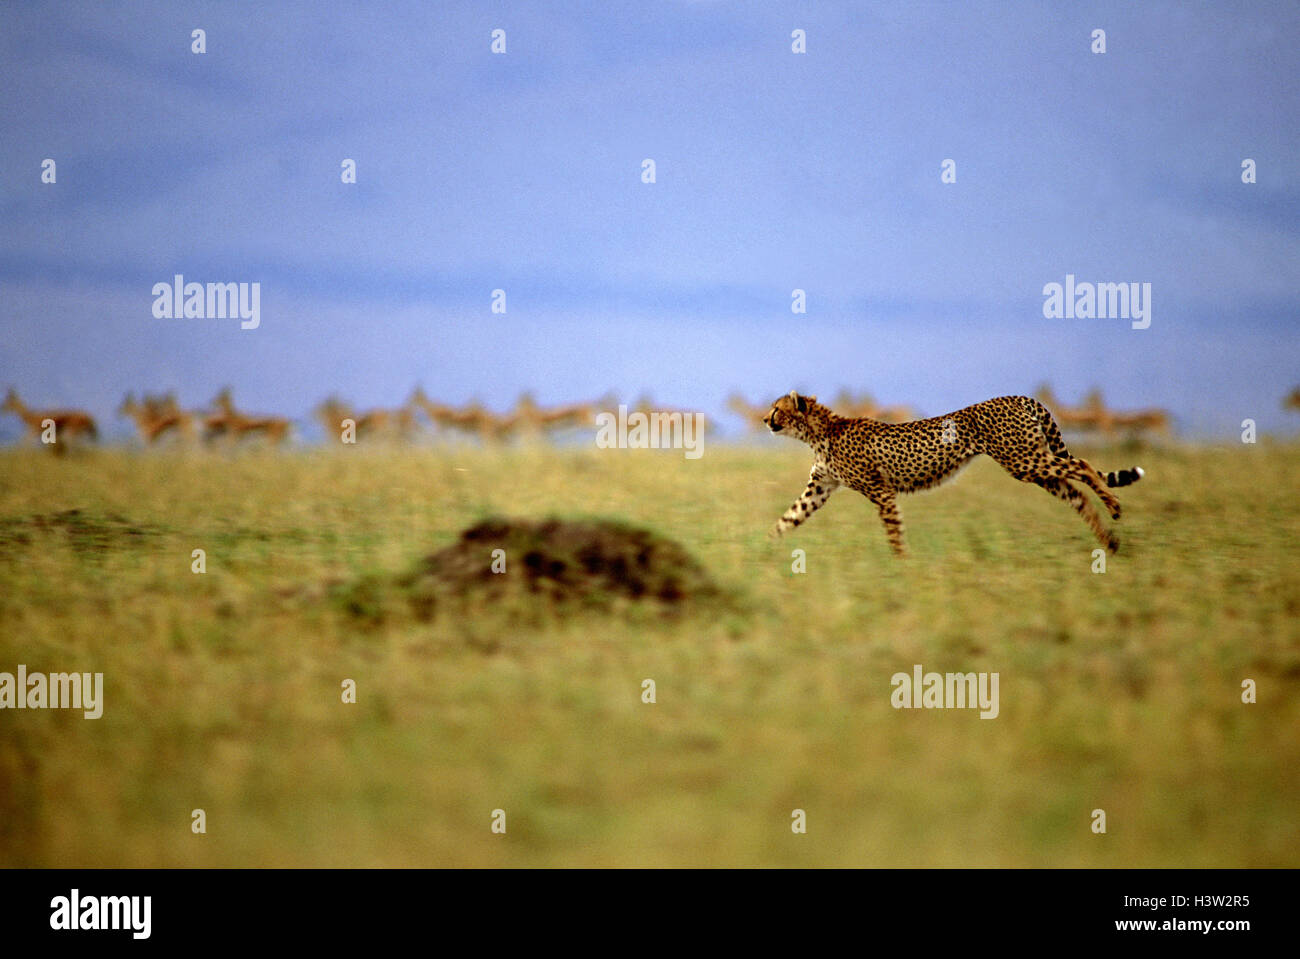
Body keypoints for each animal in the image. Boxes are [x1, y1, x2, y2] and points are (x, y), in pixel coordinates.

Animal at [764, 387, 1144, 553]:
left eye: (776, 409)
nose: (765, 420)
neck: (818, 431)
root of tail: (1018, 396)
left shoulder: (881, 491)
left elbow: (894, 531)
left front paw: (901, 564)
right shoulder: (820, 487)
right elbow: (789, 518)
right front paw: (764, 550)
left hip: (1023, 460)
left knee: (1082, 464)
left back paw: (1114, 507)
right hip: (1033, 466)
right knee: (1076, 493)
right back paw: (1109, 541)